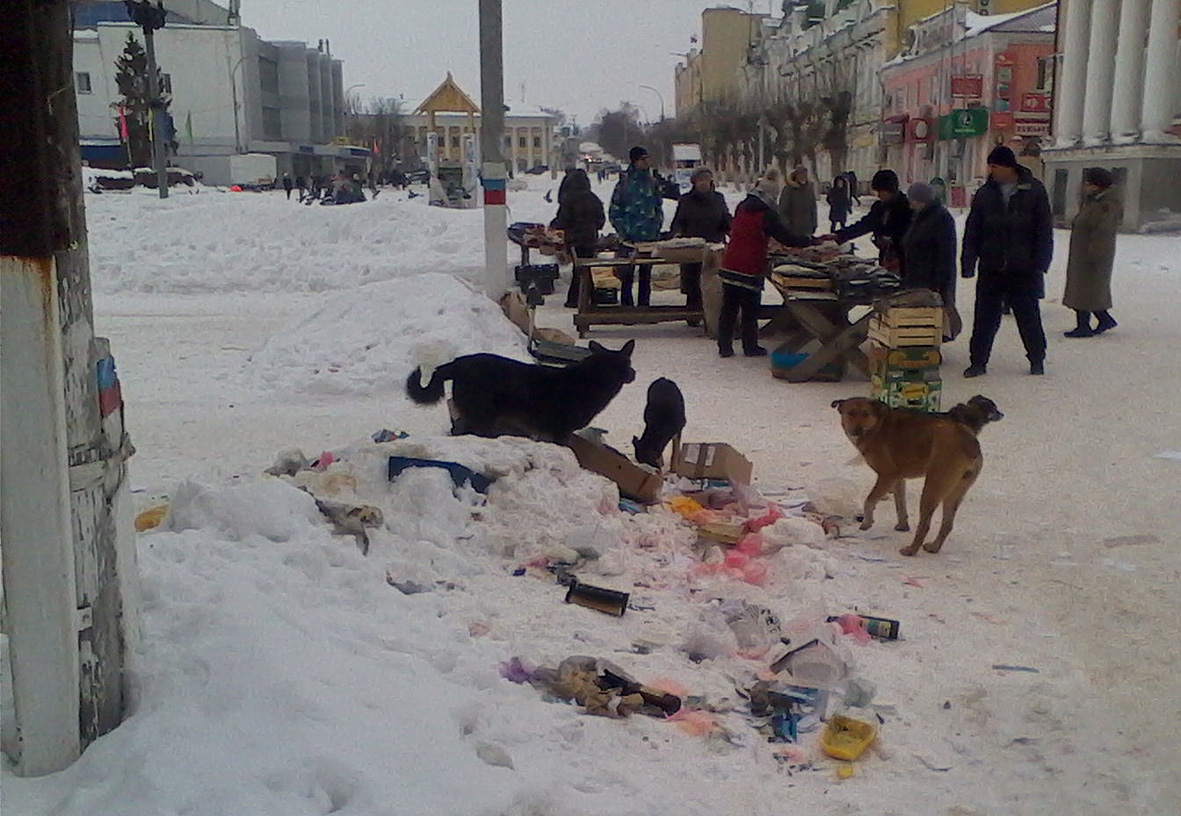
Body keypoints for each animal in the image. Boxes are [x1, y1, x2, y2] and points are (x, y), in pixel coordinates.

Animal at [406, 337, 637, 444]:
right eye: (628, 363)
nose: (635, 373)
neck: (591, 380)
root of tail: (457, 363)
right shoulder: (561, 432)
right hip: (483, 416)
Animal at [836, 396, 1001, 555]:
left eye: (865, 413)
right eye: (850, 413)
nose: (856, 430)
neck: (877, 425)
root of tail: (969, 442)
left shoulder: (887, 475)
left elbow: (869, 501)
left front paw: (866, 523)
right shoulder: (898, 478)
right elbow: (900, 505)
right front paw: (902, 525)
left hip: (931, 488)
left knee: (925, 525)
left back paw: (911, 550)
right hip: (954, 493)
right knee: (947, 524)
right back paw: (934, 547)